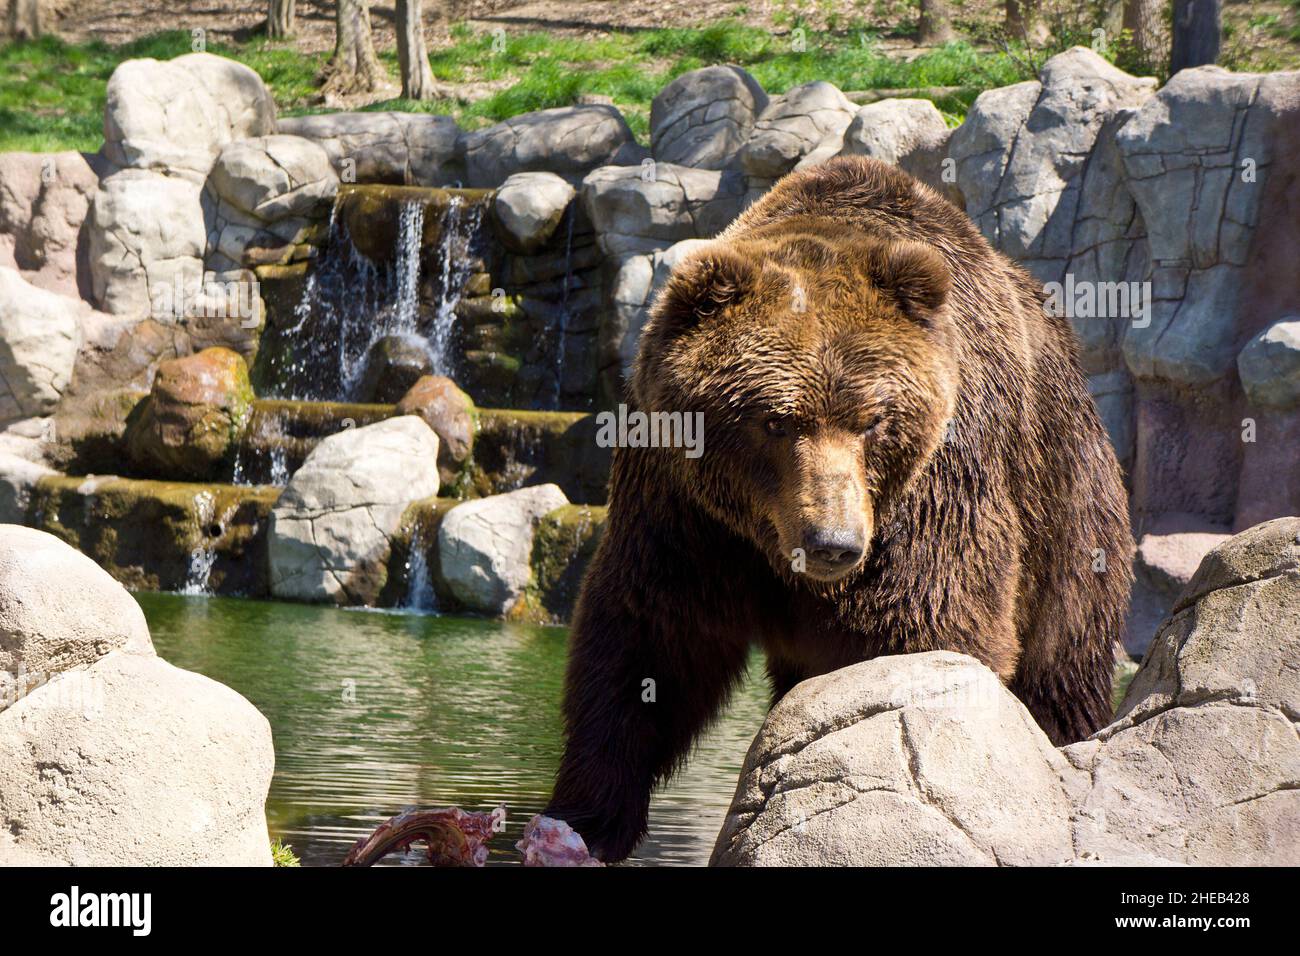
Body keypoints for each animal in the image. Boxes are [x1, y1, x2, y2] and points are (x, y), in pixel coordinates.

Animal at [544, 156, 1133, 863]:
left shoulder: (935, 487)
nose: (834, 541)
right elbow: (650, 633)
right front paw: (584, 814)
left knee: (1063, 658)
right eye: (774, 420)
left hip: (1068, 504)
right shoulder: (682, 503)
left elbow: (916, 634)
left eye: (873, 420)